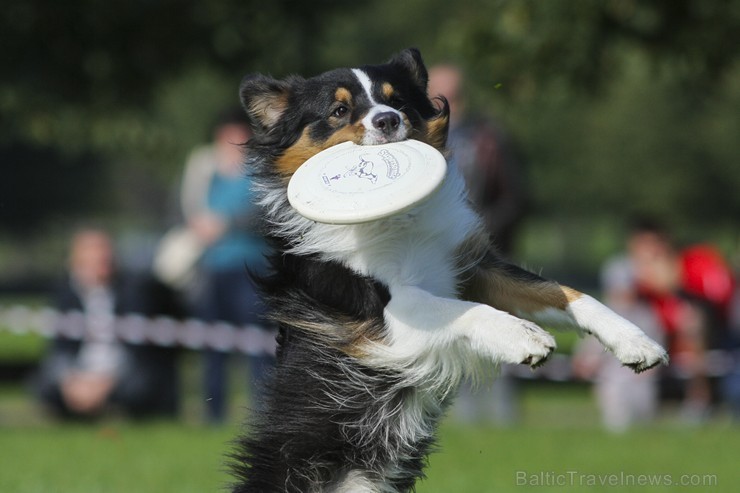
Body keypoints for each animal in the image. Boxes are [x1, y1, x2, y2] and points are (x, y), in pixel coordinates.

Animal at [228, 47, 668, 492]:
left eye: (397, 100)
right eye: (339, 110)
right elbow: (464, 311)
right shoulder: (386, 312)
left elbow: (564, 293)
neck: (396, 220)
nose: (388, 120)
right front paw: (523, 337)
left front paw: (636, 342)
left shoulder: (473, 270)